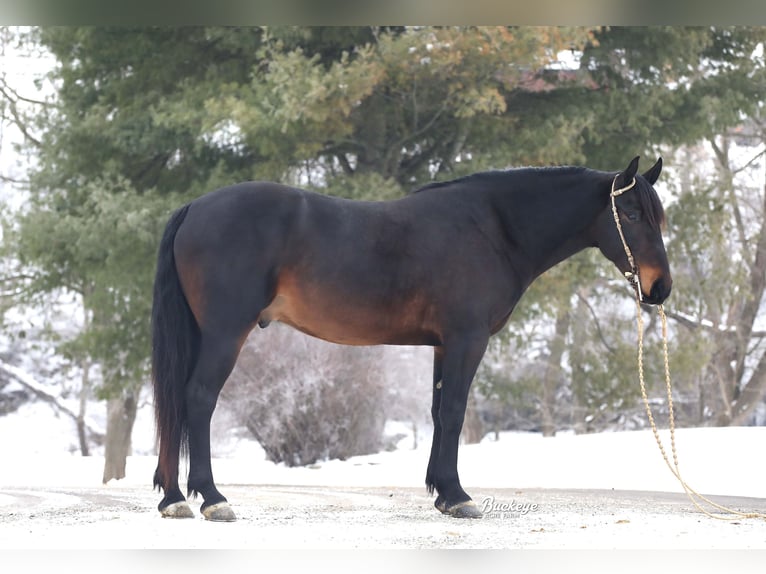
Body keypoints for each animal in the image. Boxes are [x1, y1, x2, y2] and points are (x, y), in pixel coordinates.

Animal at [152, 156, 672, 520]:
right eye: (629, 213)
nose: (660, 287)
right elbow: (455, 412)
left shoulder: (444, 344)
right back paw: (212, 499)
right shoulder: (467, 340)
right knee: (198, 398)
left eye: (658, 217)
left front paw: (442, 494)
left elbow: (439, 412)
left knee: (174, 402)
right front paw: (459, 497)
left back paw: (173, 499)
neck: (494, 228)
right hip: (225, 333)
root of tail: (194, 208)